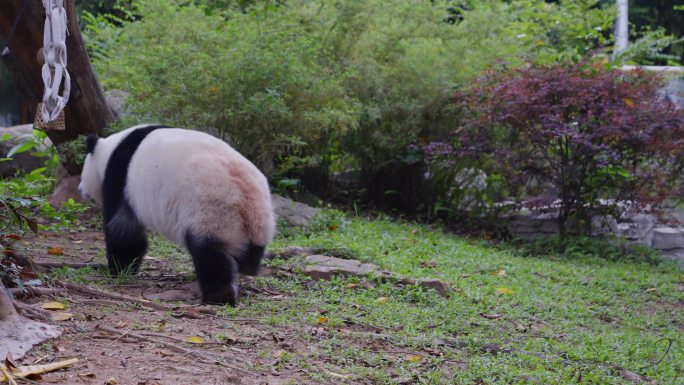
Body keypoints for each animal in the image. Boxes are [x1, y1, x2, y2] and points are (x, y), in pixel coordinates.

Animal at [77, 123, 276, 304]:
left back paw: (219, 295)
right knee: (248, 252)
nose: (80, 189)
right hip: (257, 219)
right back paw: (245, 270)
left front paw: (118, 269)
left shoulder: (121, 177)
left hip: (212, 209)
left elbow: (124, 230)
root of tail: (245, 192)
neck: (111, 149)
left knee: (210, 253)